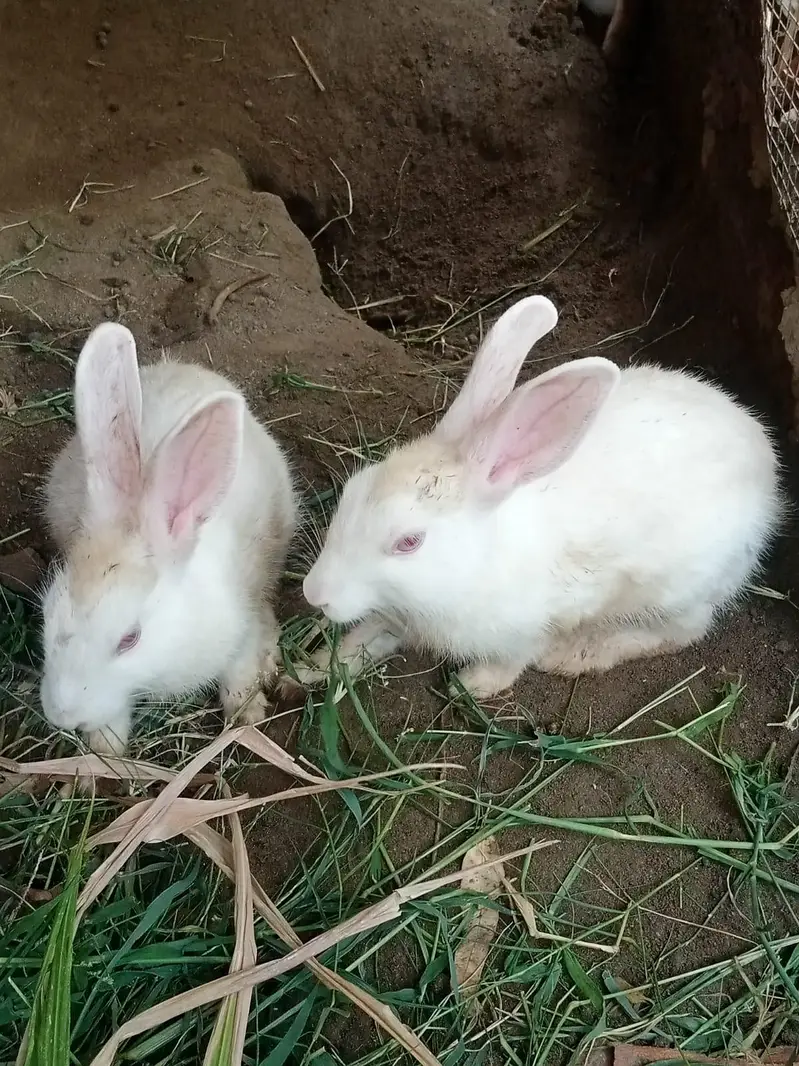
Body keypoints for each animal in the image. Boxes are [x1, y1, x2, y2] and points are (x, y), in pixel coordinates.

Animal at [40, 322, 297, 755]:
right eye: (48, 614)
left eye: (130, 639)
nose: (61, 716)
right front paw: (106, 747)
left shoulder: (239, 619)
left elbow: (239, 667)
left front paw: (247, 711)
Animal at [280, 294, 782, 703]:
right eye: (352, 492)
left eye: (409, 542)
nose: (315, 594)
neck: (475, 563)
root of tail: (764, 458)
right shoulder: (396, 616)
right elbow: (360, 642)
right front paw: (304, 673)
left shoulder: (538, 622)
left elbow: (512, 661)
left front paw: (473, 685)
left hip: (675, 593)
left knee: (682, 632)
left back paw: (575, 655)